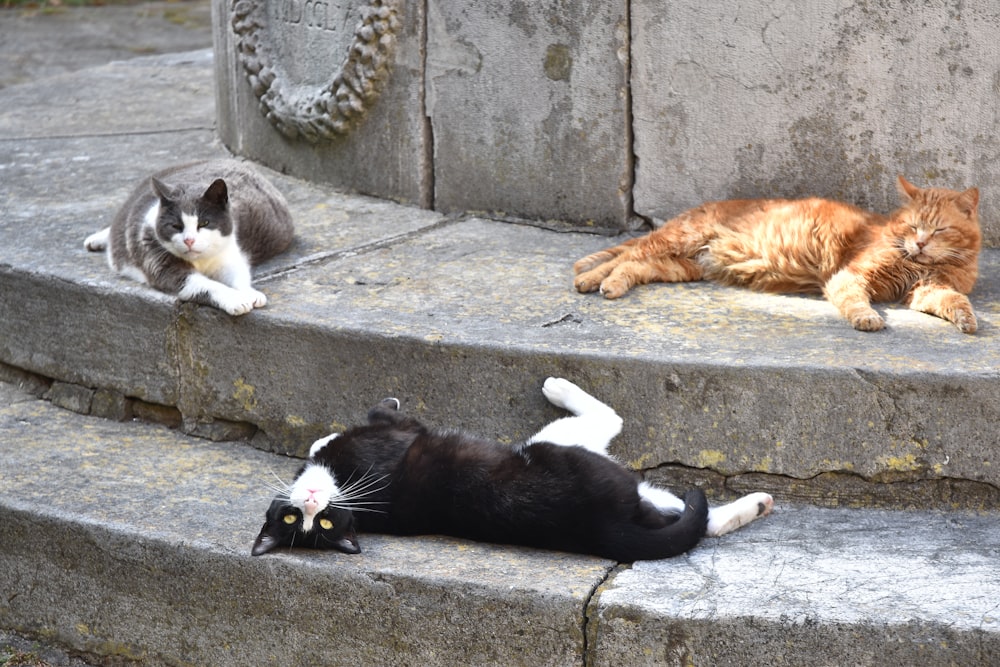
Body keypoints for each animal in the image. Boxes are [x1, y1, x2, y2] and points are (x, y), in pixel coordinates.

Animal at [85, 159, 292, 316]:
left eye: (204, 223)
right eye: (176, 226)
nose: (189, 240)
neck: (201, 261)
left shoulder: (228, 253)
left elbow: (238, 274)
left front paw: (250, 294)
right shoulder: (158, 260)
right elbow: (205, 284)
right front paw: (236, 300)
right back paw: (96, 240)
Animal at [252, 378, 772, 560]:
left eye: (319, 523)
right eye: (299, 522)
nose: (312, 502)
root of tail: (602, 527)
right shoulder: (395, 432)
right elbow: (379, 418)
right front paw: (323, 442)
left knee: (694, 518)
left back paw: (756, 505)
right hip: (565, 446)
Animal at [576, 177, 980, 334]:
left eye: (939, 230)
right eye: (913, 227)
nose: (921, 243)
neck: (920, 264)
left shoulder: (926, 291)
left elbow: (954, 301)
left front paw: (966, 319)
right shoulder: (851, 276)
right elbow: (855, 302)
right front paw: (867, 318)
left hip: (681, 266)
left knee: (634, 264)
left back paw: (611, 285)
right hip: (680, 239)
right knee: (624, 255)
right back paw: (589, 279)